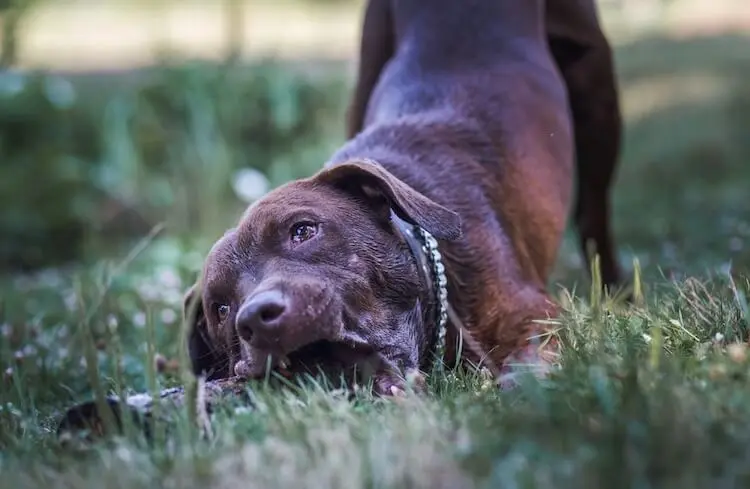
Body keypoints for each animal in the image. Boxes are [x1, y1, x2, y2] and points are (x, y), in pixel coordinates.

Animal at [185, 0, 624, 392]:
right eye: (220, 309)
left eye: (303, 230)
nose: (256, 317)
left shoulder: (534, 313)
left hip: (596, 88)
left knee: (594, 211)